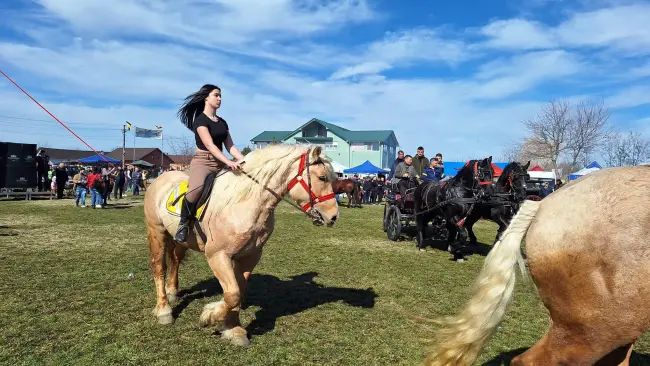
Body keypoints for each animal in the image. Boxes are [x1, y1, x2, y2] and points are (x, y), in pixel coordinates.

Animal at [144, 144, 336, 346]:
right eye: (322, 177)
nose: (333, 217)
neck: (245, 202)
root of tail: (159, 179)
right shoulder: (217, 255)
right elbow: (232, 294)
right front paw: (209, 316)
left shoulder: (249, 256)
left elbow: (238, 292)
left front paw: (232, 329)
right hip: (156, 231)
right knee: (159, 267)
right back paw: (164, 311)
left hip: (181, 240)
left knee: (175, 260)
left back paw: (172, 292)